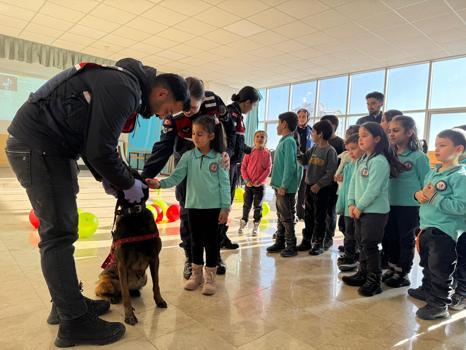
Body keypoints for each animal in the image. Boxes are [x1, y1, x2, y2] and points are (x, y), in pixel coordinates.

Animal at [95, 172, 167, 326]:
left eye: (134, 173)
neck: (134, 215)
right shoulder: (122, 264)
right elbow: (126, 296)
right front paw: (129, 316)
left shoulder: (154, 258)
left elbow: (156, 283)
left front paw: (159, 300)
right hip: (107, 282)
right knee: (104, 292)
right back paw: (111, 298)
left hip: (144, 278)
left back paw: (134, 292)